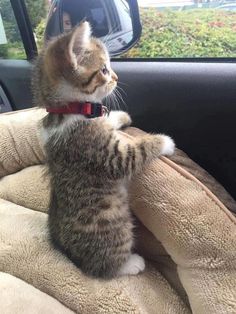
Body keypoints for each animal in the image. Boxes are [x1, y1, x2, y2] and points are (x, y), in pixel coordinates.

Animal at [31, 20, 175, 278]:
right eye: (105, 70)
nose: (117, 77)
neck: (68, 110)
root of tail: (72, 257)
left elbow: (108, 120)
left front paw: (119, 116)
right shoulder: (103, 153)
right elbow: (133, 154)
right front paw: (164, 142)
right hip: (113, 226)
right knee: (105, 266)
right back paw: (131, 264)